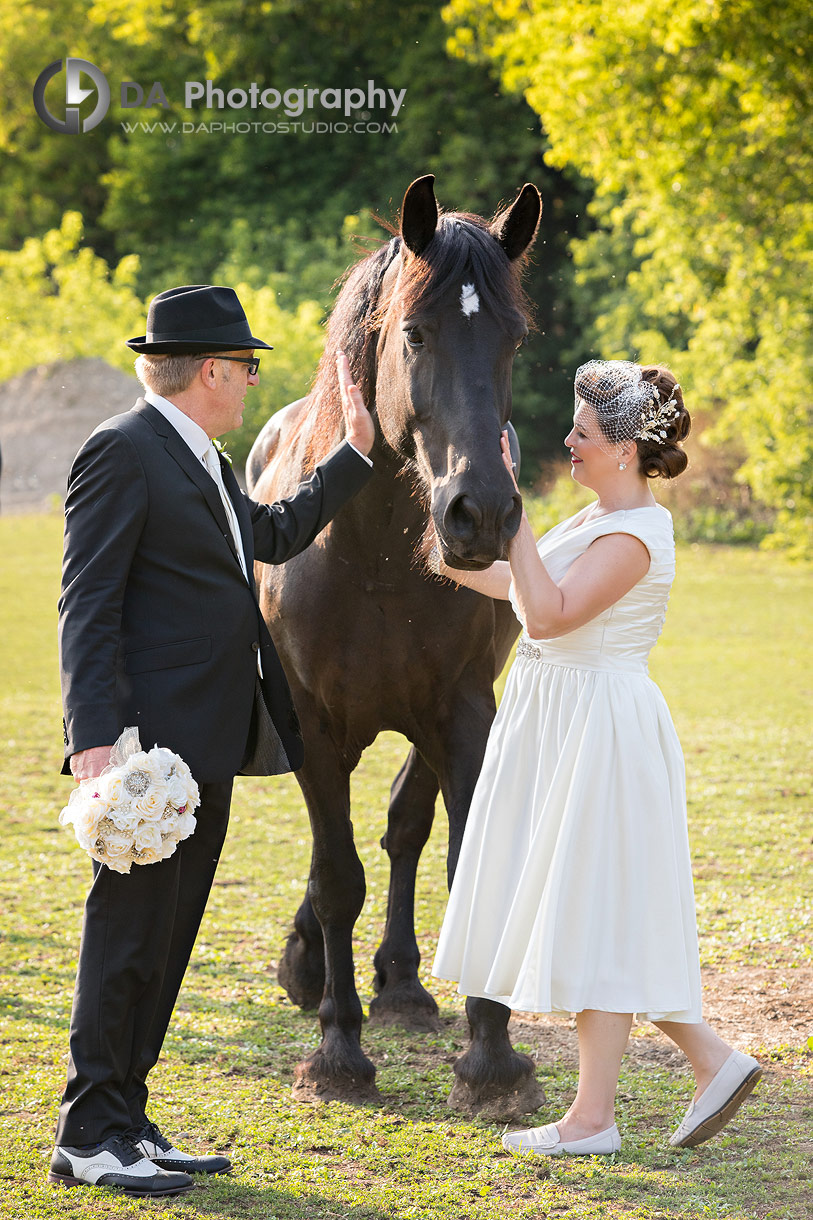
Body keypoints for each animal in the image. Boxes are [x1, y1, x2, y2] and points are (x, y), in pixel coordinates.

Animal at [244, 172, 542, 1117]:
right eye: (414, 333)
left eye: (512, 339)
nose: (480, 514)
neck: (369, 550)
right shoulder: (314, 726)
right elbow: (336, 878)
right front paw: (337, 1051)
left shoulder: (463, 711)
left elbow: (452, 853)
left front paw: (491, 1059)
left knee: (406, 829)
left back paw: (405, 985)